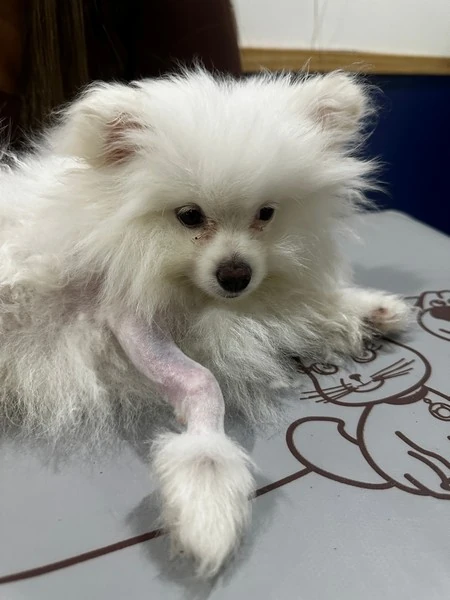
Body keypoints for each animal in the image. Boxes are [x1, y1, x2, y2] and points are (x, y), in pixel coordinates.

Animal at [0, 69, 410, 576]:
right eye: (190, 216)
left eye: (266, 214)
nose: (236, 275)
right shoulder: (126, 313)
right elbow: (202, 383)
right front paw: (207, 499)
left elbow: (306, 304)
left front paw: (371, 309)